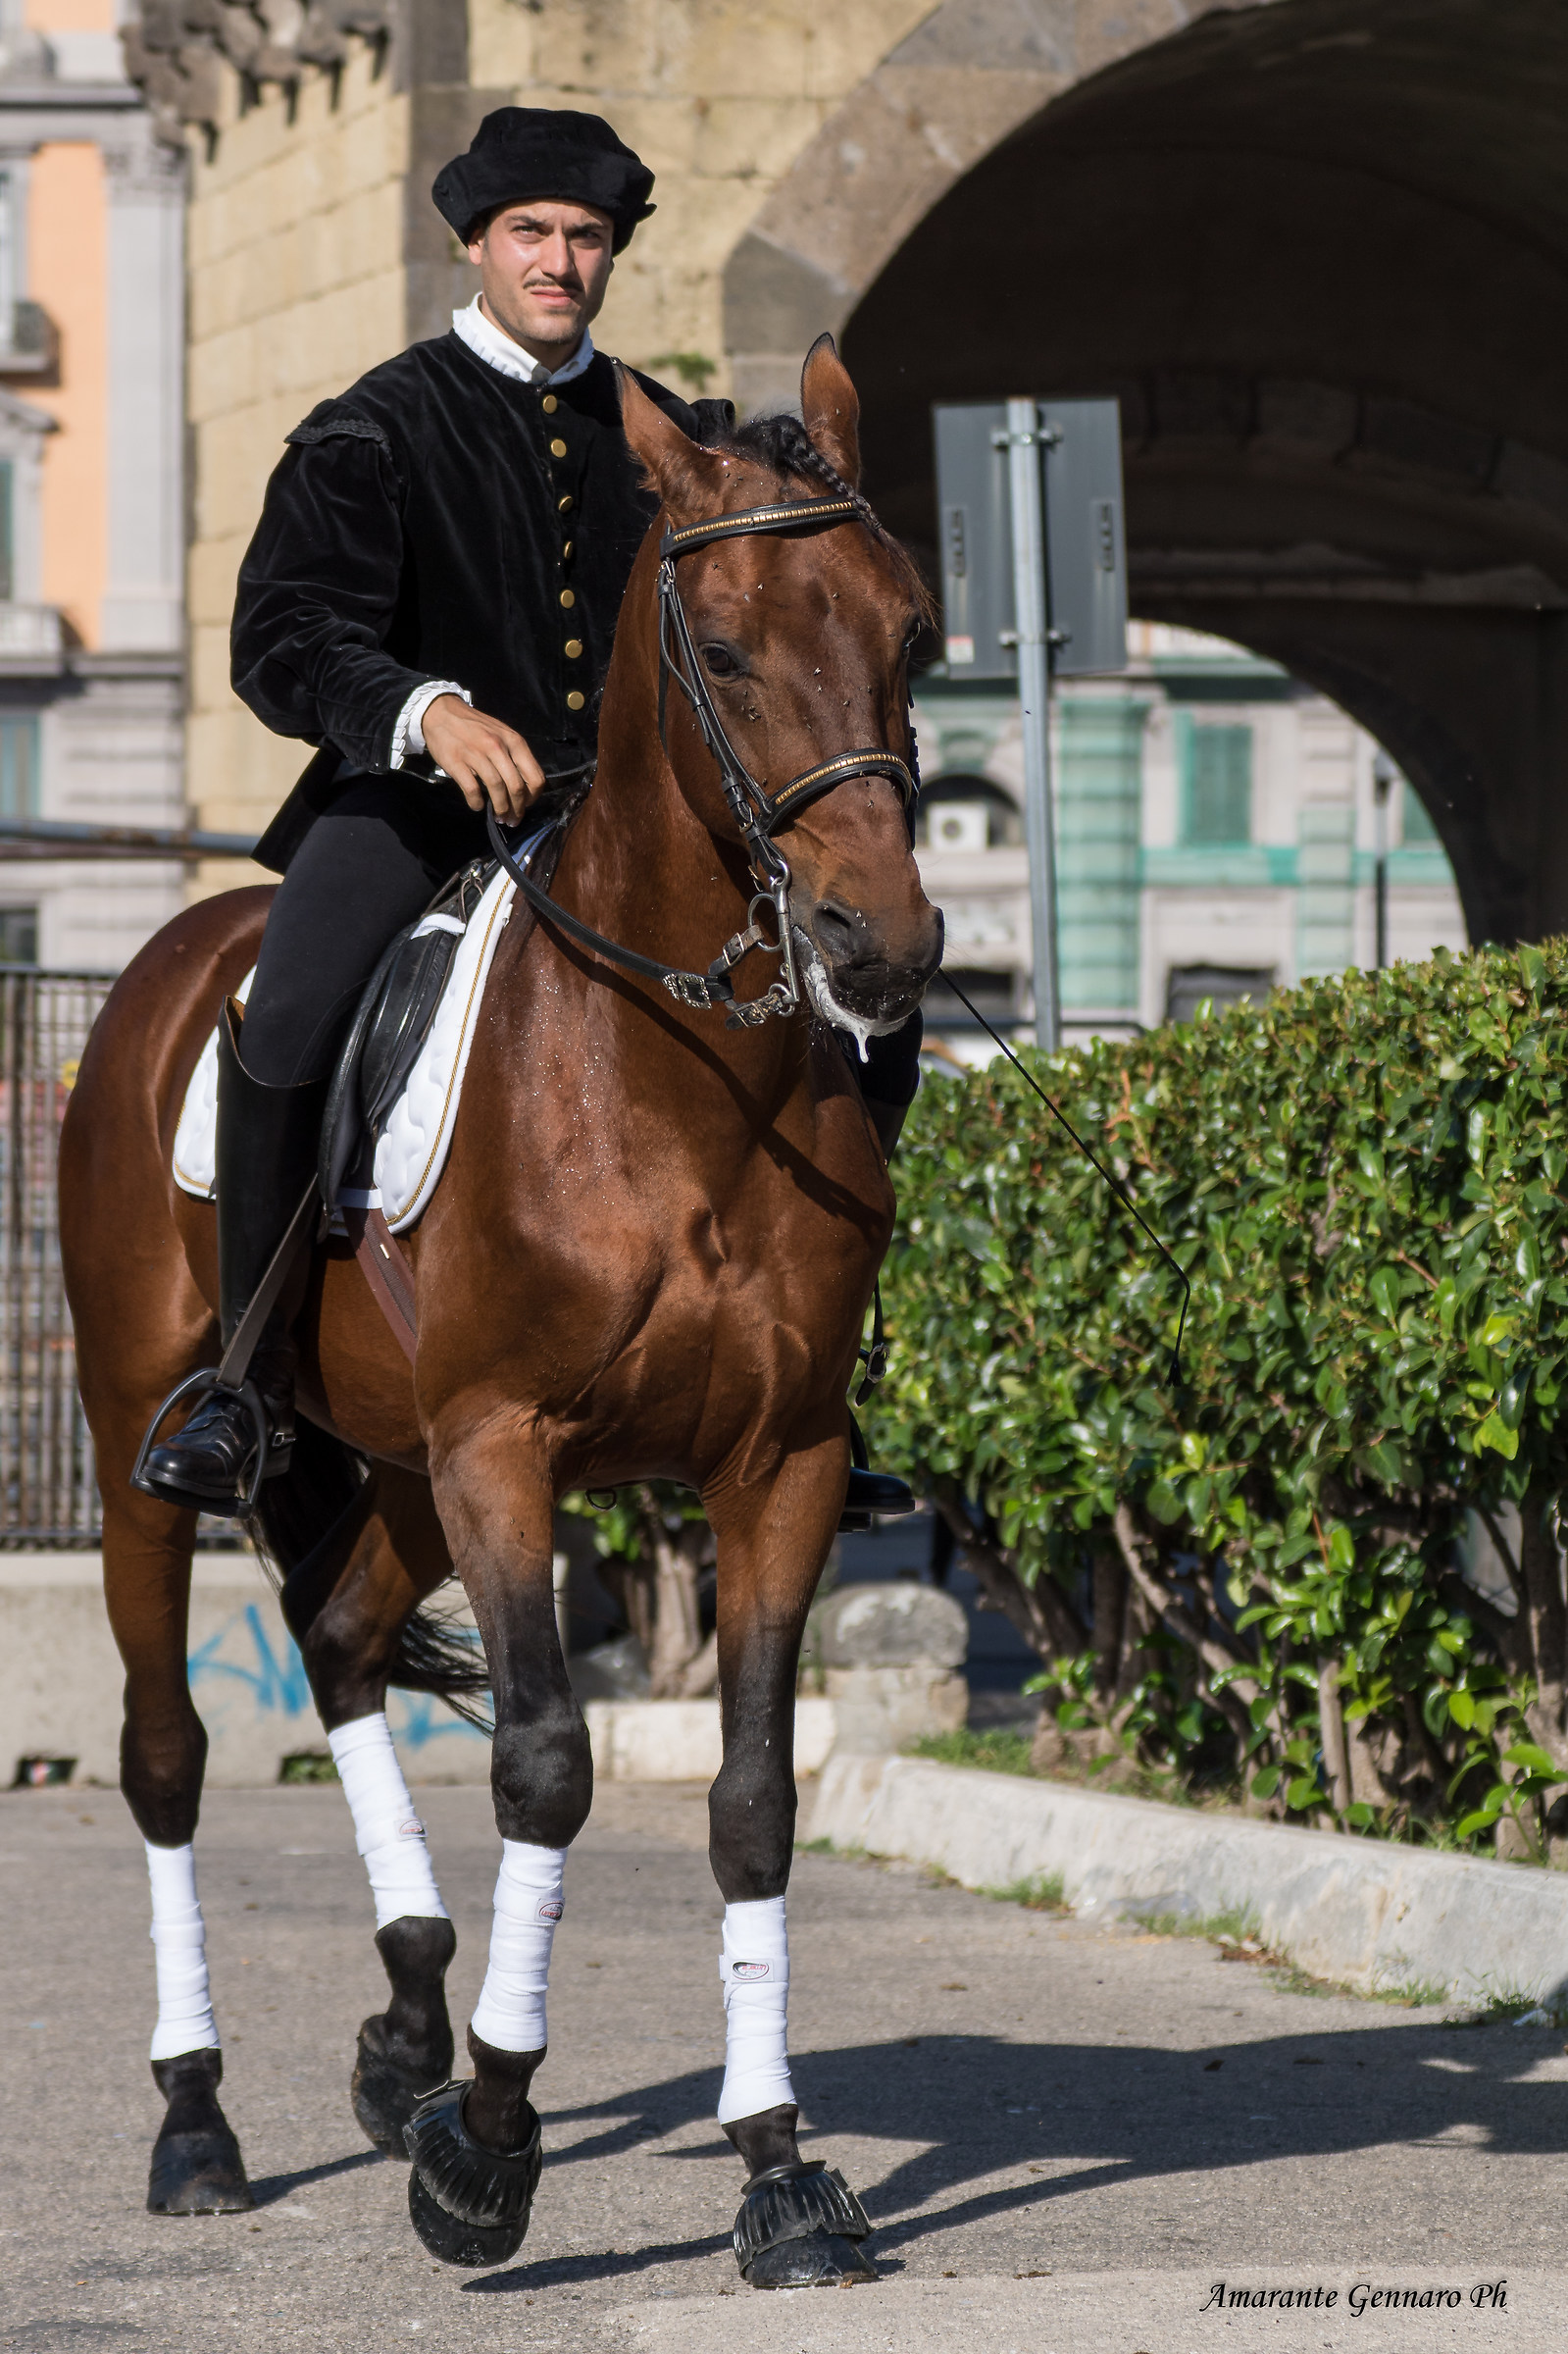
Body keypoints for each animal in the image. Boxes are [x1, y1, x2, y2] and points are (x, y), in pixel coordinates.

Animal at [58, 336, 941, 2288]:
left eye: (911, 630)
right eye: (727, 647)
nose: (883, 945)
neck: (674, 1074)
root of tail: (174, 955)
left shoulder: (777, 1465)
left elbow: (750, 1799)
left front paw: (775, 2170)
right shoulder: (503, 1450)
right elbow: (544, 1768)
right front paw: (489, 2149)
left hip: (386, 1464)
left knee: (339, 1644)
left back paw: (401, 2024)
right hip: (154, 1434)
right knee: (166, 1755)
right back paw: (195, 2118)